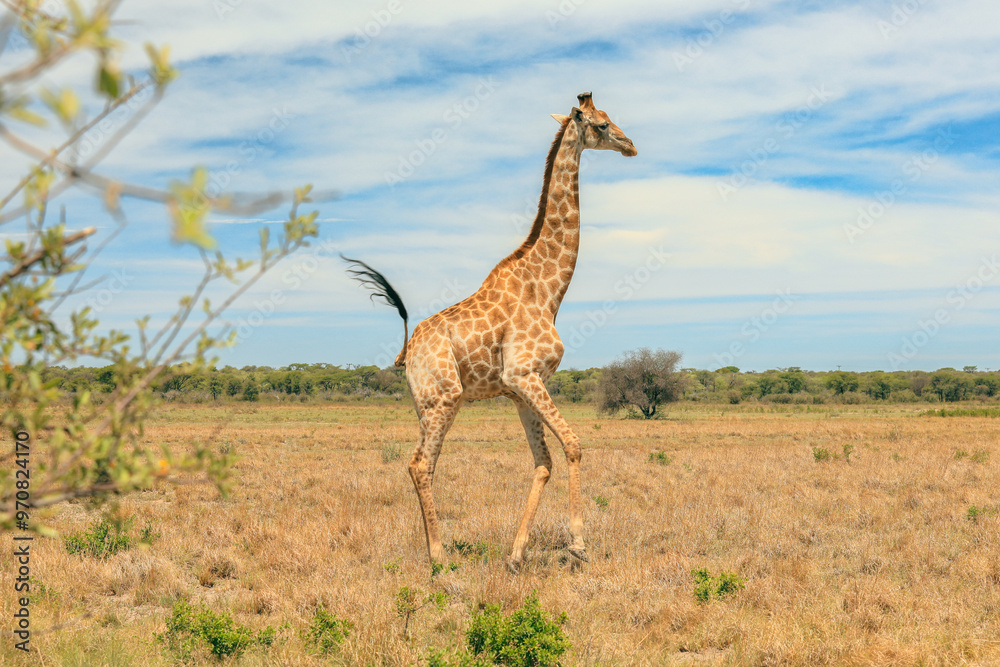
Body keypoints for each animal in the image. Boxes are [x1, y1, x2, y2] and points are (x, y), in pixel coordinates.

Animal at [344, 92, 636, 571]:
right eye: (602, 124)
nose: (631, 145)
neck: (547, 289)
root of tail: (408, 350)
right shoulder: (525, 375)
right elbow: (573, 445)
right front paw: (578, 544)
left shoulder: (519, 388)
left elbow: (543, 462)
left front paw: (516, 555)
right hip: (445, 397)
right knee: (421, 464)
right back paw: (440, 558)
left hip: (426, 404)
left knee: (418, 464)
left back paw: (435, 549)